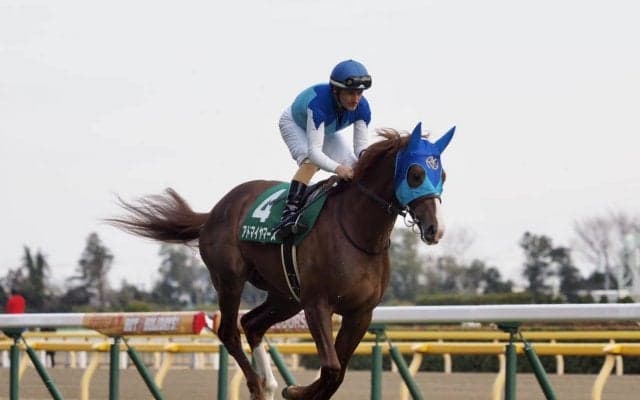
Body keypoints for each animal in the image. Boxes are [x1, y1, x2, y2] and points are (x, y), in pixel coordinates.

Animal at [108, 122, 454, 400]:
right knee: (230, 331)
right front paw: (296, 390)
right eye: (416, 174)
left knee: (252, 324)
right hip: (230, 280)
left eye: (442, 174)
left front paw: (296, 390)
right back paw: (259, 386)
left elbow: (338, 373)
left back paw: (270, 384)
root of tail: (215, 211)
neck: (358, 233)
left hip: (285, 295)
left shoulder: (361, 313)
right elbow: (331, 368)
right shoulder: (318, 304)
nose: (436, 229)